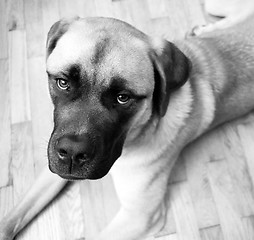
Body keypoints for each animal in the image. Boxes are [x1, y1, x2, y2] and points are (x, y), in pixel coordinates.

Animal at [0, 14, 254, 240]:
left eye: (123, 98)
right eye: (63, 82)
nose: (72, 153)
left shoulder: (139, 216)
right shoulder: (54, 157)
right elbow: (13, 216)